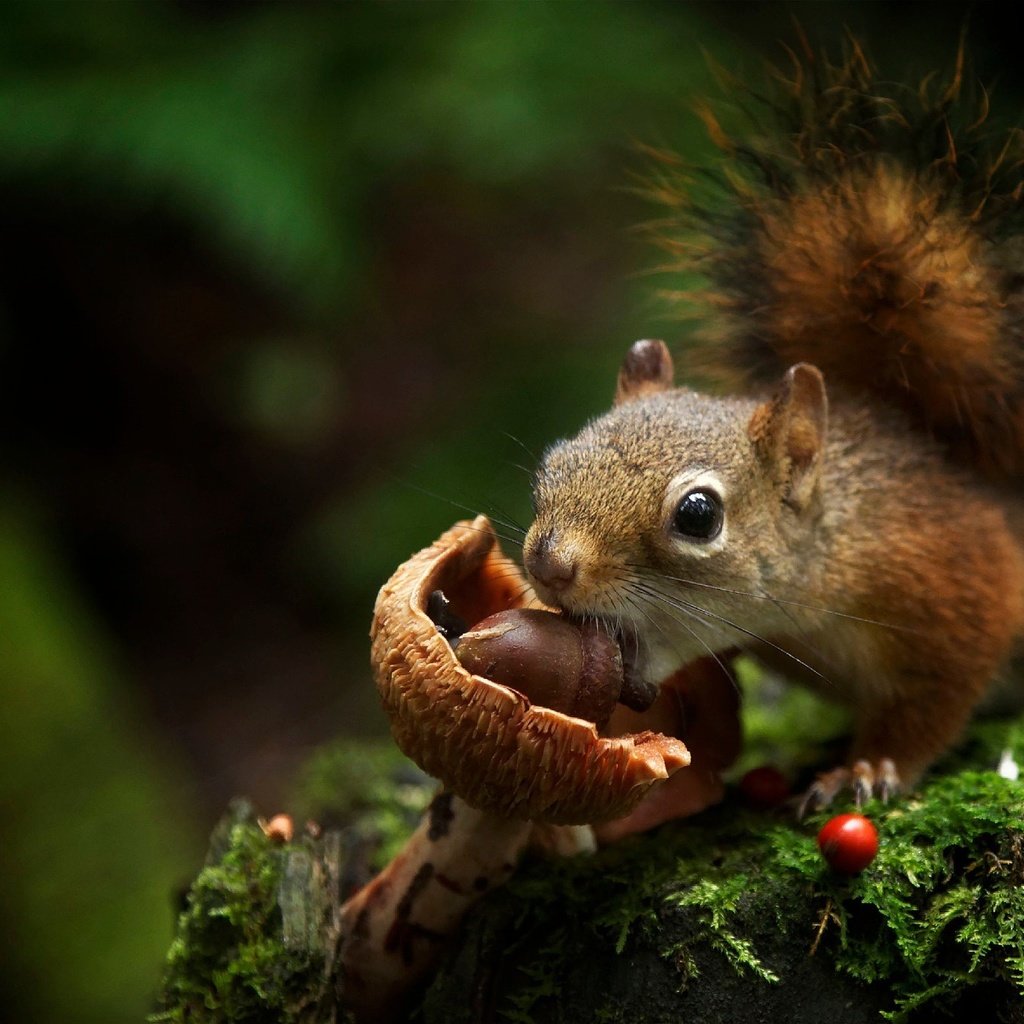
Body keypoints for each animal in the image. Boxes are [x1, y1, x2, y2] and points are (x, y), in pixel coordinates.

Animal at [520, 39, 1024, 811]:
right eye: (555, 461)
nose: (549, 563)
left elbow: (930, 706)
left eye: (698, 515)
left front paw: (865, 769)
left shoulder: (960, 588)